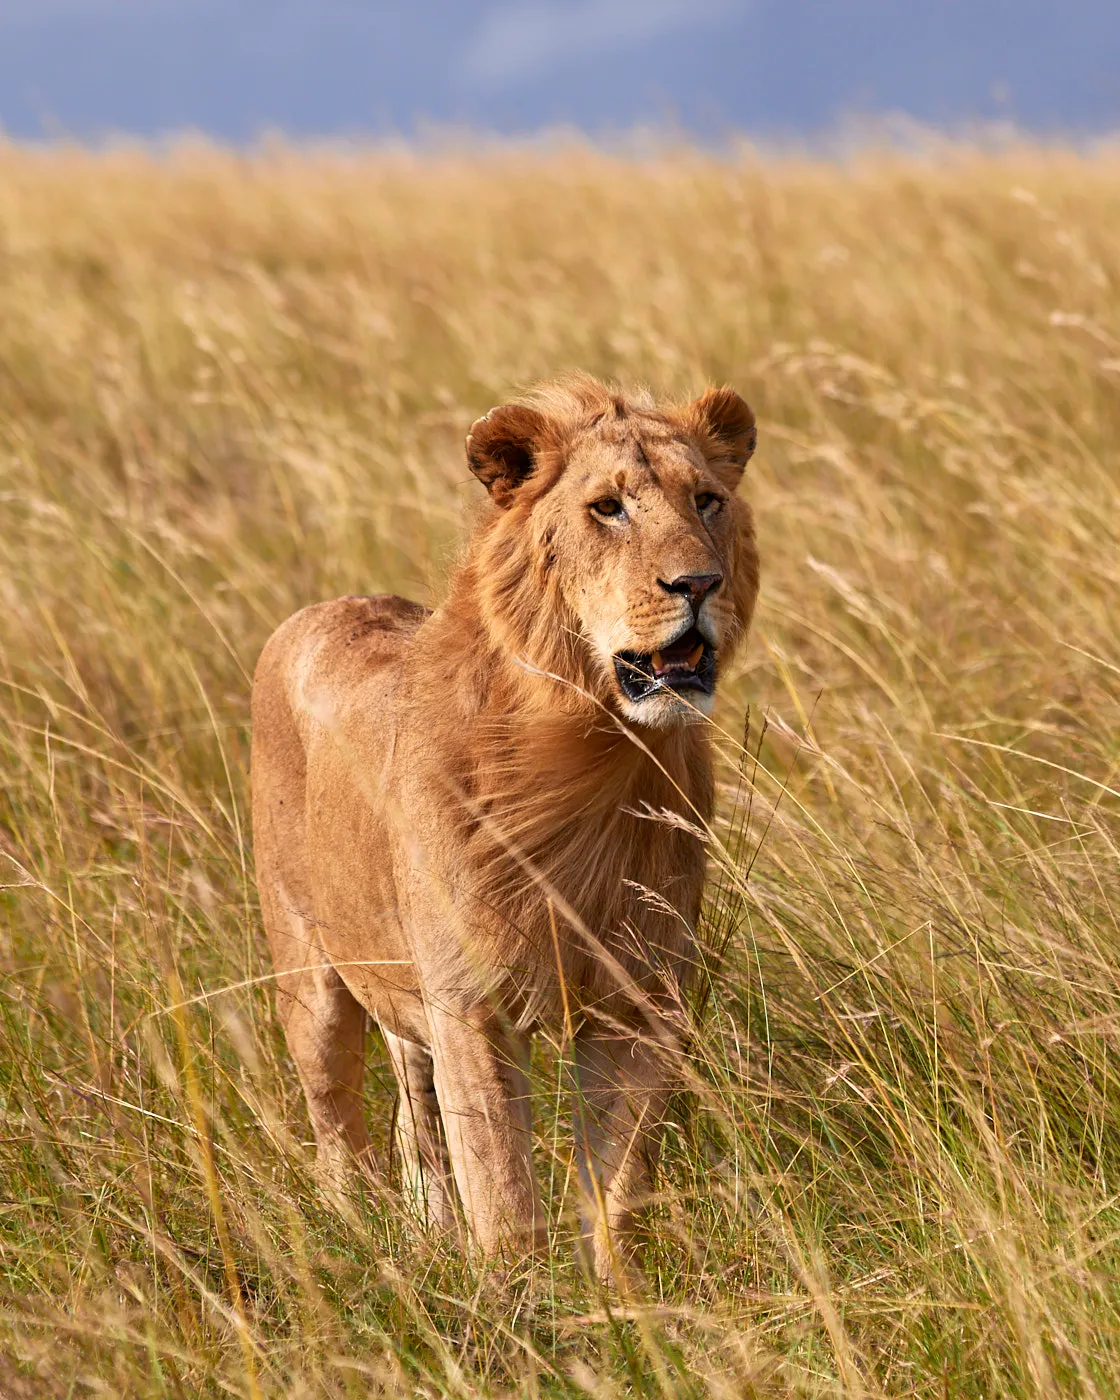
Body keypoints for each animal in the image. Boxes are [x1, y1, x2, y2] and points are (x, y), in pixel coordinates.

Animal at [251, 374, 759, 1278]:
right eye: (607, 509)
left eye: (708, 500)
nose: (698, 584)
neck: (596, 753)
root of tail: (324, 606)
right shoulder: (470, 1004)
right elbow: (504, 1195)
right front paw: (519, 1307)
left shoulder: (641, 1002)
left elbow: (618, 1186)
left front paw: (622, 1301)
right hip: (309, 976)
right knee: (336, 1134)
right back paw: (360, 1252)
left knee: (414, 1126)